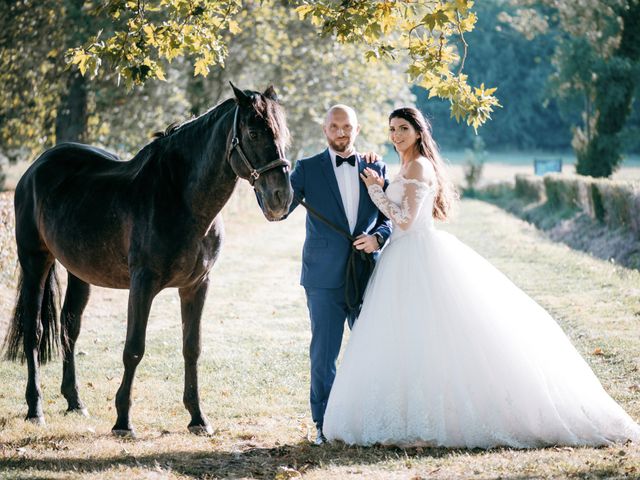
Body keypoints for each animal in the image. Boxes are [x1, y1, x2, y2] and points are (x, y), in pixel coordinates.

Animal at [1, 84, 292, 436]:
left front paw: (198, 418)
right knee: (34, 331)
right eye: (252, 132)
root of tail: (36, 167)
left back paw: (75, 402)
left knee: (70, 327)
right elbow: (134, 349)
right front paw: (123, 422)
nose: (280, 198)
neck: (181, 199)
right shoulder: (143, 284)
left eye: (283, 133)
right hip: (35, 262)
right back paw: (35, 409)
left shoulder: (197, 286)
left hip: (78, 272)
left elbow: (191, 348)